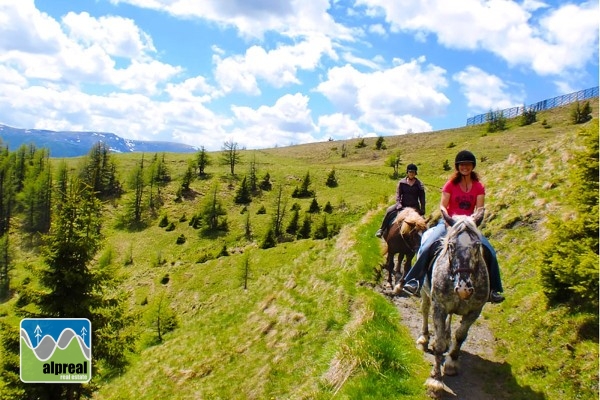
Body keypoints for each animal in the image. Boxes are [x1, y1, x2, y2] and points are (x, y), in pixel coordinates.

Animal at [414, 208, 490, 398]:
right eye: (451, 246)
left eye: (476, 246)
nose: (464, 288)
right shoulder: (439, 307)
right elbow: (439, 343)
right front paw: (435, 381)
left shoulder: (475, 310)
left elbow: (461, 336)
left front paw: (451, 363)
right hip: (425, 293)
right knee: (425, 310)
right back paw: (424, 338)